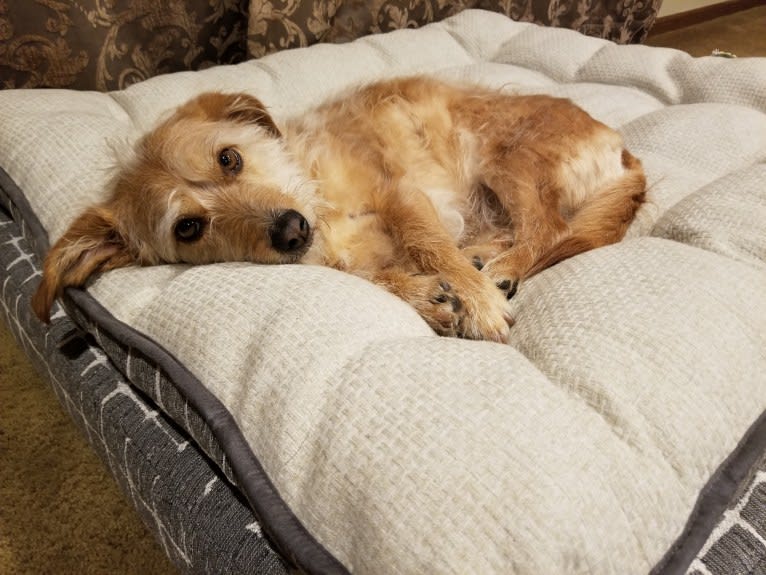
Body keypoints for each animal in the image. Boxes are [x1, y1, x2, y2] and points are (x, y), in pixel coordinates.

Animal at [34, 74, 648, 340]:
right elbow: (375, 278)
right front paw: (427, 297)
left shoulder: (400, 194)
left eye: (229, 158)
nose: (289, 230)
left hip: (508, 160)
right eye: (187, 227)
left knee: (547, 230)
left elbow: (428, 243)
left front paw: (474, 303)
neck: (317, 201)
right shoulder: (345, 261)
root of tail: (622, 149)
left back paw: (499, 271)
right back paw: (485, 259)